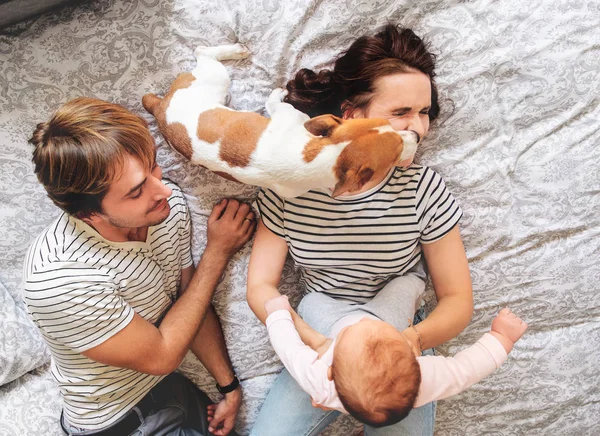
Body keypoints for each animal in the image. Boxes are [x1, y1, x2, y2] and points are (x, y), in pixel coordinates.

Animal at [143, 43, 420, 198]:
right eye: (396, 153)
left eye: (388, 125)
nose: (416, 135)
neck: (325, 153)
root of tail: (160, 106)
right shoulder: (287, 113)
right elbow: (275, 102)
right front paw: (277, 92)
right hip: (216, 78)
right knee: (202, 53)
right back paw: (234, 50)